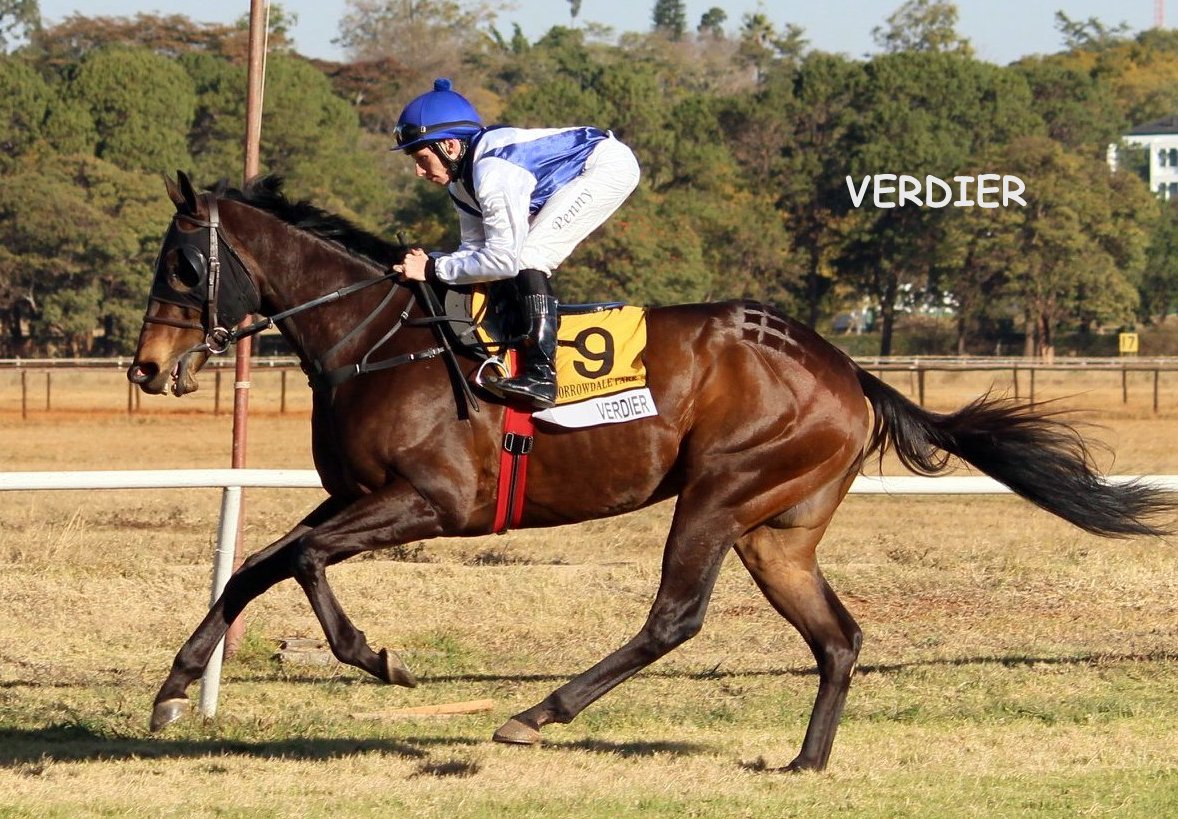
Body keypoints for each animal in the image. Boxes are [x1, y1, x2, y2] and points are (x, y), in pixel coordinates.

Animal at [127, 172, 1173, 772]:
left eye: (181, 264)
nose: (145, 366)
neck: (377, 339)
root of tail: (846, 369)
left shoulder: (430, 501)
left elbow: (301, 562)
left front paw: (379, 656)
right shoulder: (355, 495)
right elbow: (256, 561)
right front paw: (174, 686)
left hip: (718, 492)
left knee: (676, 617)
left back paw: (536, 713)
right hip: (776, 529)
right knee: (837, 636)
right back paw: (805, 762)